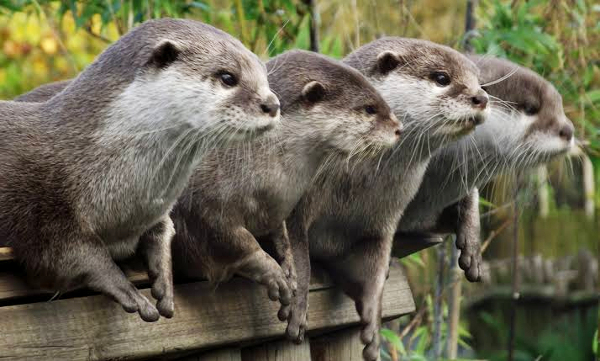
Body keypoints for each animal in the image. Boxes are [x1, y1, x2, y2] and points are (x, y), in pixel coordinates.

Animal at [0, 18, 278, 320]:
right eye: (228, 77)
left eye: (264, 75)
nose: (272, 104)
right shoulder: (45, 216)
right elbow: (70, 258)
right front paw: (129, 291)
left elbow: (164, 229)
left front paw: (163, 279)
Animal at [284, 38, 490, 358]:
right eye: (442, 78)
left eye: (479, 81)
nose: (481, 97)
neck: (355, 184)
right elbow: (297, 255)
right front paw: (297, 305)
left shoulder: (382, 221)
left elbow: (372, 265)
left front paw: (373, 323)